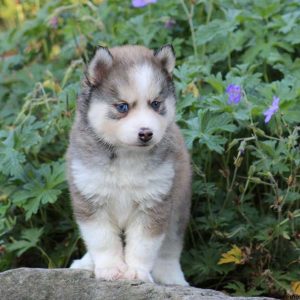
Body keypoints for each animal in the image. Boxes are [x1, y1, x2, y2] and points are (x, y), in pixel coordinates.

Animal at [67, 45, 191, 286]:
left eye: (155, 104)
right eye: (122, 107)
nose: (146, 133)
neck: (126, 156)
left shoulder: (154, 203)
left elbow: (144, 245)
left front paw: (136, 272)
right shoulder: (91, 199)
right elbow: (102, 240)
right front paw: (110, 269)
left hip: (178, 206)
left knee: (170, 246)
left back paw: (172, 277)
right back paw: (86, 263)